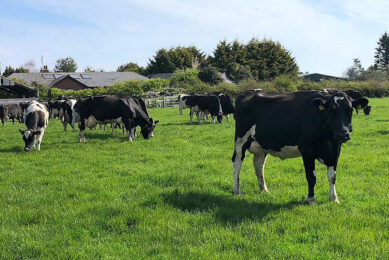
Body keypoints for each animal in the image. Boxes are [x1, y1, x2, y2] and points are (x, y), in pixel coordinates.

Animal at [232, 89, 368, 205]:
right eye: (331, 111)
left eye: (350, 111)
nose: (343, 134)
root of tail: (248, 92)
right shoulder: (307, 150)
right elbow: (311, 177)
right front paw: (311, 200)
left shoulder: (335, 150)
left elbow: (332, 177)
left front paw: (334, 199)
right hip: (240, 140)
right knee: (237, 162)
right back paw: (237, 191)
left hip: (262, 145)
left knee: (259, 165)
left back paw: (264, 190)